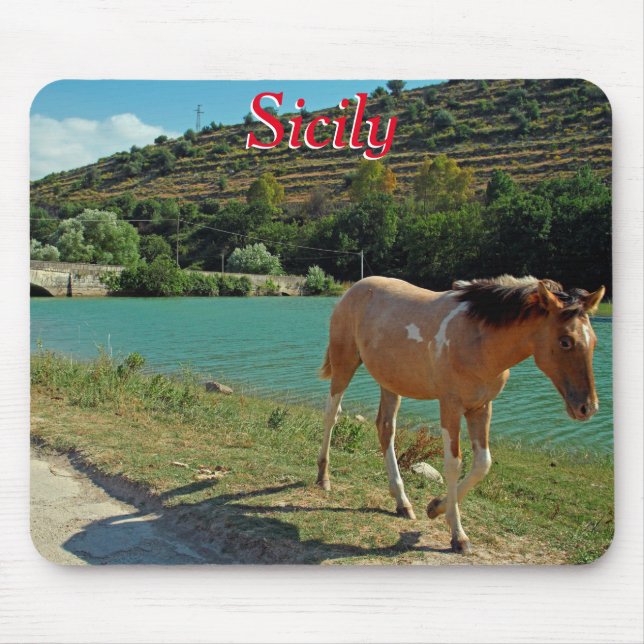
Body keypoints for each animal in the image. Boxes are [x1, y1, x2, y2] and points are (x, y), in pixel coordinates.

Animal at [316, 275, 605, 554]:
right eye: (565, 341)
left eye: (594, 342)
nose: (587, 407)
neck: (478, 340)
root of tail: (352, 290)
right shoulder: (450, 406)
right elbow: (454, 464)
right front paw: (458, 536)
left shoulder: (481, 407)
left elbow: (482, 464)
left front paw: (435, 507)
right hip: (345, 364)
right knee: (331, 414)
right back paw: (323, 478)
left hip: (390, 382)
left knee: (386, 428)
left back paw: (402, 502)